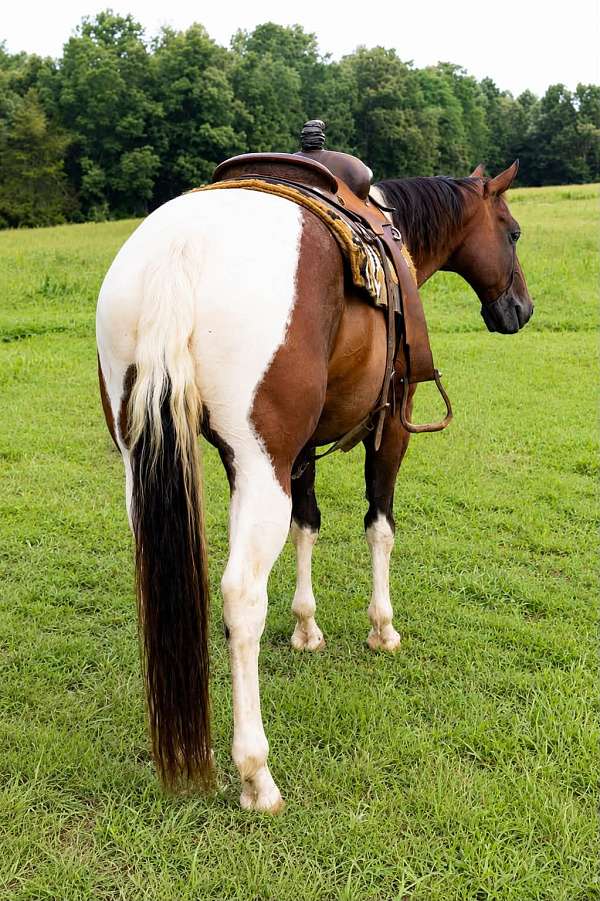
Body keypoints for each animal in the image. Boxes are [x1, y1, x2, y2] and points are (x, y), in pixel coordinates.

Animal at [96, 159, 532, 813]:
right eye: (512, 233)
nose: (520, 309)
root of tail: (182, 247)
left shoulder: (300, 453)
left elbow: (308, 526)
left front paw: (306, 628)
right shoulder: (391, 425)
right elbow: (379, 528)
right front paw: (382, 629)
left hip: (145, 462)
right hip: (260, 466)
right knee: (241, 599)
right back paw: (256, 775)